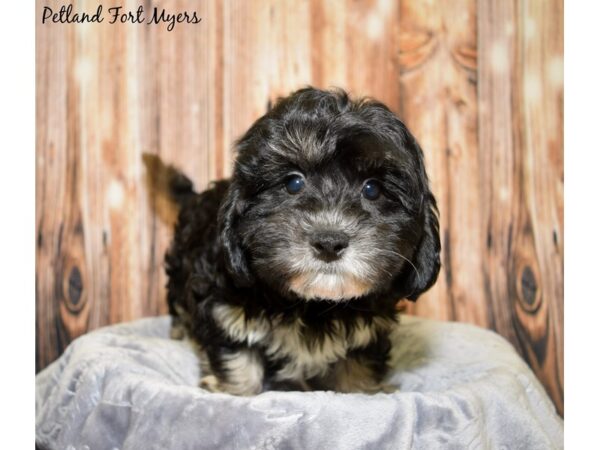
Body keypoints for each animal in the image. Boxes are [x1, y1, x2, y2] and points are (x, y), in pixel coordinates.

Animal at [164, 87, 440, 394]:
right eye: (293, 183)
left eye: (373, 189)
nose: (329, 242)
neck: (313, 305)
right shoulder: (224, 309)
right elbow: (237, 358)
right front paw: (232, 390)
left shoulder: (368, 333)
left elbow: (358, 370)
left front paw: (364, 389)